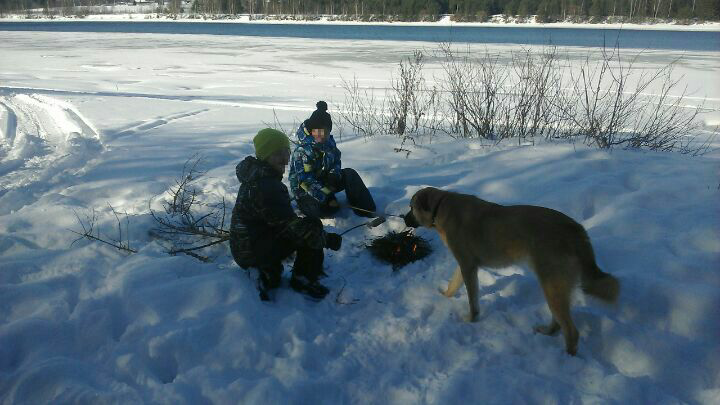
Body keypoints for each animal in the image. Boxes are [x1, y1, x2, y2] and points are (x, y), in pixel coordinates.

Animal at [404, 186, 620, 354]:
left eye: (411, 207)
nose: (403, 219)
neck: (440, 206)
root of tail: (576, 229)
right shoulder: (465, 264)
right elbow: (453, 283)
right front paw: (446, 296)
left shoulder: (468, 266)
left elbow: (473, 301)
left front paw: (471, 319)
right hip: (555, 287)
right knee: (559, 322)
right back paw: (547, 332)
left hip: (552, 284)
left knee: (571, 331)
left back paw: (567, 358)